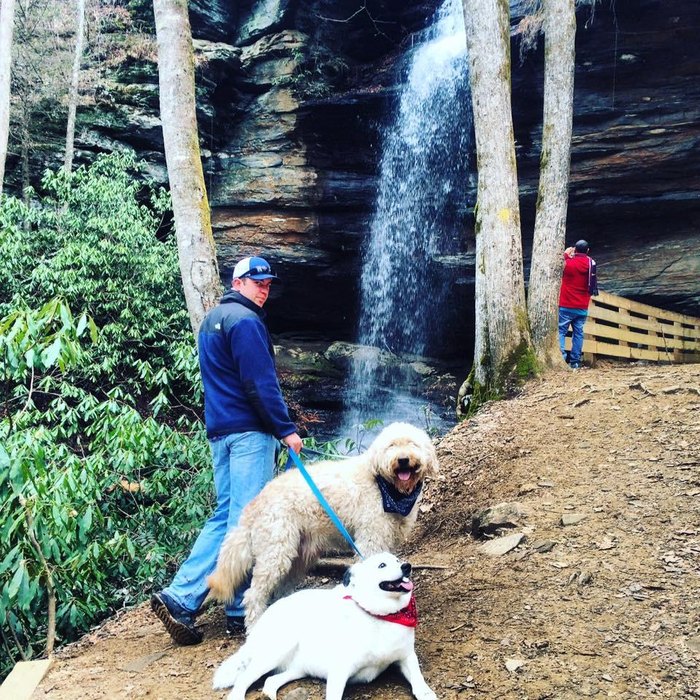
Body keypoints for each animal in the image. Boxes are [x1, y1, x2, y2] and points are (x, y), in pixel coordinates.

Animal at [206, 422, 438, 628]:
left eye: (413, 444)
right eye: (391, 445)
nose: (403, 459)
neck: (386, 486)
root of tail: (256, 501)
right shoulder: (371, 538)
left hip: (298, 556)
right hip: (276, 552)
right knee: (253, 594)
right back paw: (254, 625)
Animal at [211, 552, 434, 700]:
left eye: (397, 560)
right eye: (381, 565)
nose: (407, 566)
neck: (383, 616)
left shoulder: (406, 657)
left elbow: (418, 678)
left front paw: (425, 692)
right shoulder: (340, 670)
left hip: (298, 668)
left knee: (269, 682)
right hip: (275, 651)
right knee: (243, 680)